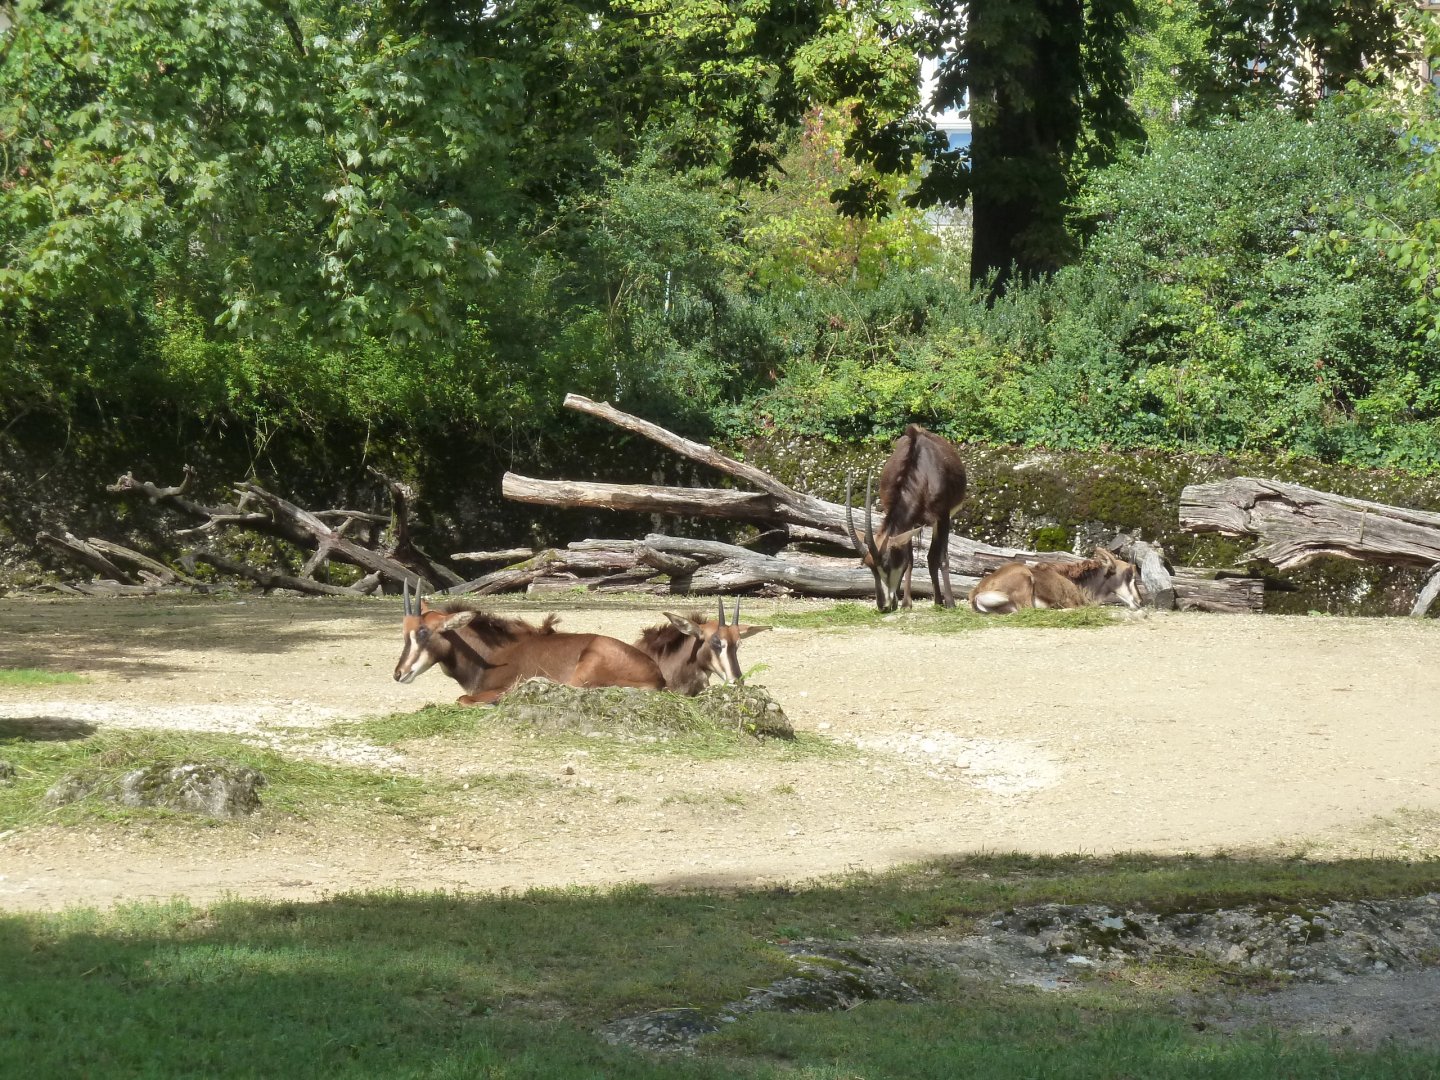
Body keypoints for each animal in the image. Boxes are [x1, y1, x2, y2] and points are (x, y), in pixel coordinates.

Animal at [392, 583, 664, 705]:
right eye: (404, 632)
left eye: (424, 632)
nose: (399, 674)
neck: (489, 655)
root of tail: (657, 675)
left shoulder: (501, 687)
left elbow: (463, 699)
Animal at [846, 424, 968, 611]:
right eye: (869, 566)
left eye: (887, 564)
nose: (883, 605)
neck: (923, 474)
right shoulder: (908, 524)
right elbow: (909, 560)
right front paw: (906, 604)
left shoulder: (943, 516)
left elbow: (943, 558)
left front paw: (951, 604)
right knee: (929, 557)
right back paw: (936, 601)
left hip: (938, 521)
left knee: (934, 557)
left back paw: (942, 601)